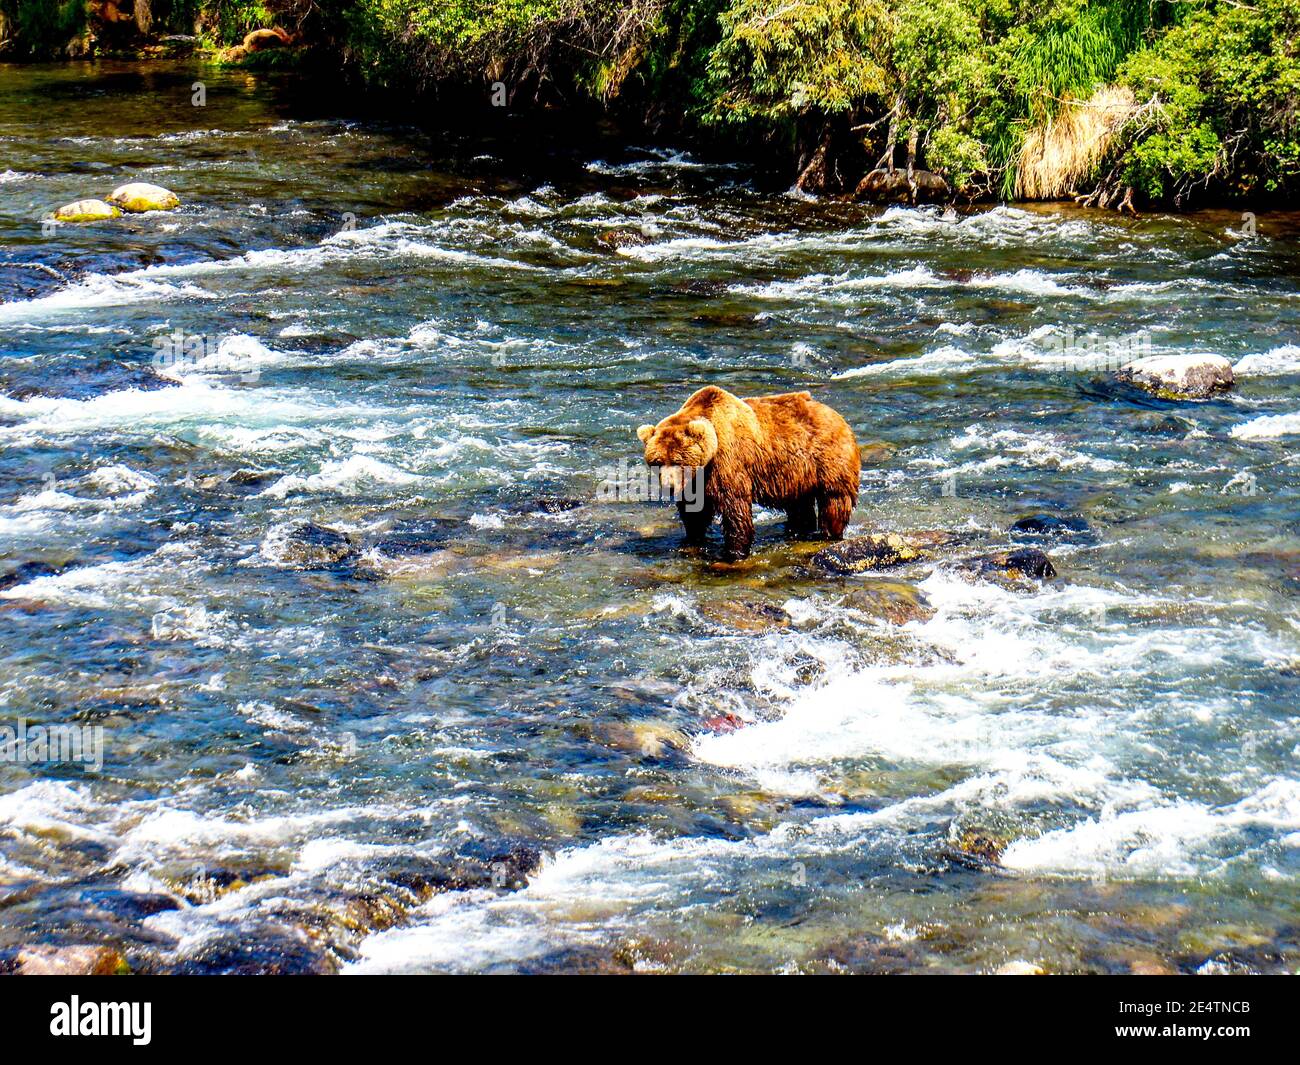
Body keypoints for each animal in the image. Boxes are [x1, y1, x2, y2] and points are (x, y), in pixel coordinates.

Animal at [634, 384, 857, 566]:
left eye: (678, 461)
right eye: (657, 462)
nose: (669, 486)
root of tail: (836, 414)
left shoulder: (728, 463)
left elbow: (735, 508)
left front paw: (733, 552)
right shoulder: (698, 482)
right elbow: (694, 512)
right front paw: (692, 540)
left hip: (828, 461)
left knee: (834, 501)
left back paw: (828, 534)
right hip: (797, 475)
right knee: (800, 505)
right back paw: (798, 530)